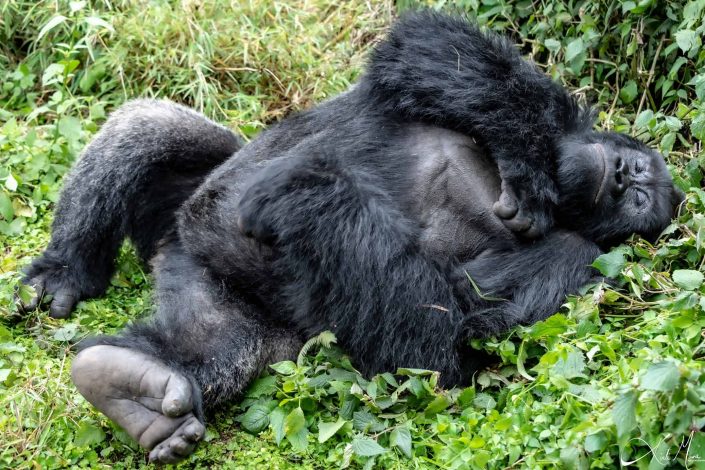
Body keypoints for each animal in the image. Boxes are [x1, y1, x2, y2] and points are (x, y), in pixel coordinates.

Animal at [23, 10, 680, 462]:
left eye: (639, 200)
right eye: (636, 172)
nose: (626, 178)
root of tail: (171, 253)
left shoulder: (575, 265)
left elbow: (437, 348)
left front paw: (310, 191)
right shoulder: (562, 123)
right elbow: (438, 53)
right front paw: (527, 154)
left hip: (249, 317)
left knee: (223, 344)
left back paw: (139, 385)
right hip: (185, 212)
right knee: (152, 126)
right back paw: (64, 270)